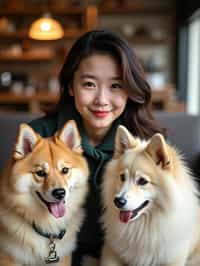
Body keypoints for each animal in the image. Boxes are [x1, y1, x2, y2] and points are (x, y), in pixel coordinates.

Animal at [101, 125, 200, 266]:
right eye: (122, 177)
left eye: (142, 181)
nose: (118, 201)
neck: (143, 227)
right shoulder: (111, 251)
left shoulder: (173, 259)